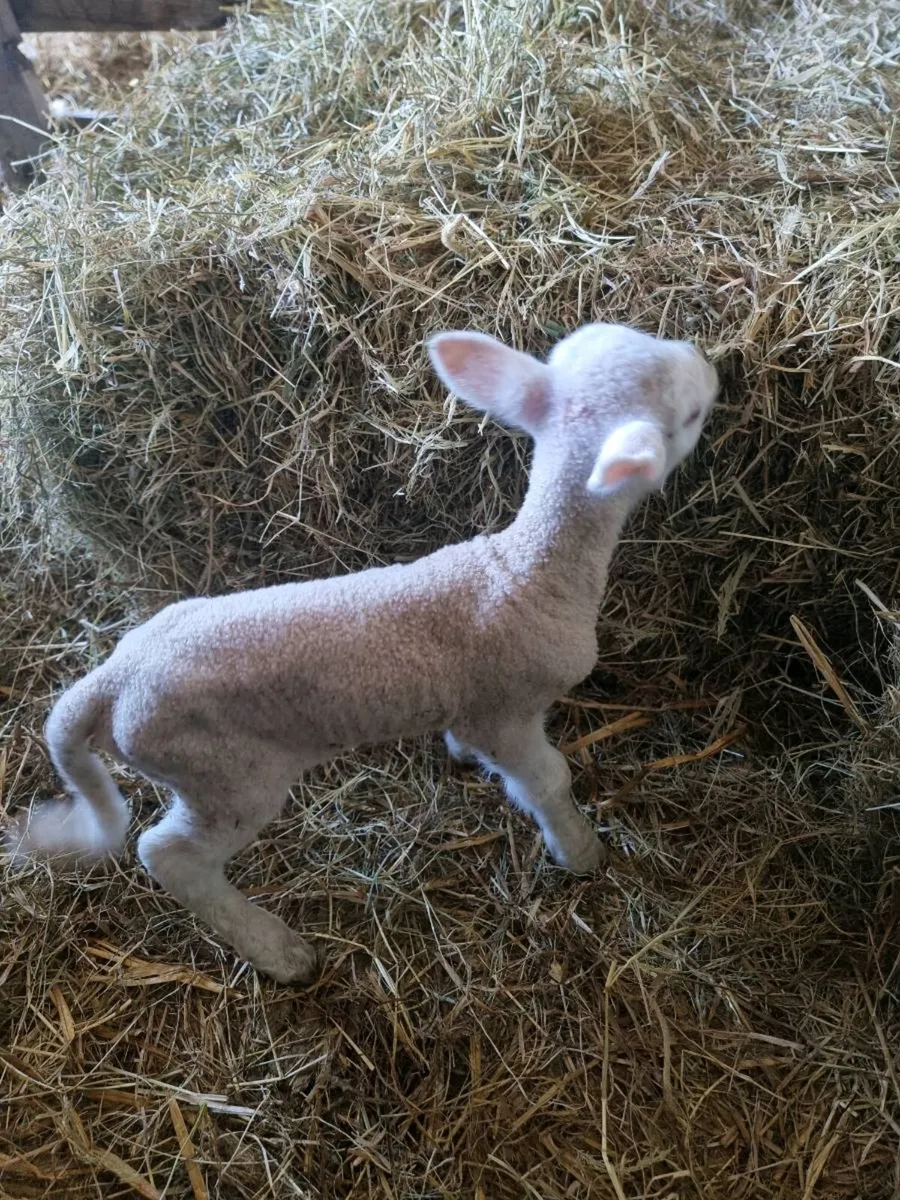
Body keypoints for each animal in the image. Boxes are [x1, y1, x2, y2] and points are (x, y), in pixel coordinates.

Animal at [7, 322, 718, 984]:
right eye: (688, 417)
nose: (709, 366)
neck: (527, 569)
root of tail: (110, 682)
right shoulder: (507, 710)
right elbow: (547, 781)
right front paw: (580, 853)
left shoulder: (475, 709)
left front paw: (463, 759)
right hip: (223, 774)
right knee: (169, 854)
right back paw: (280, 952)